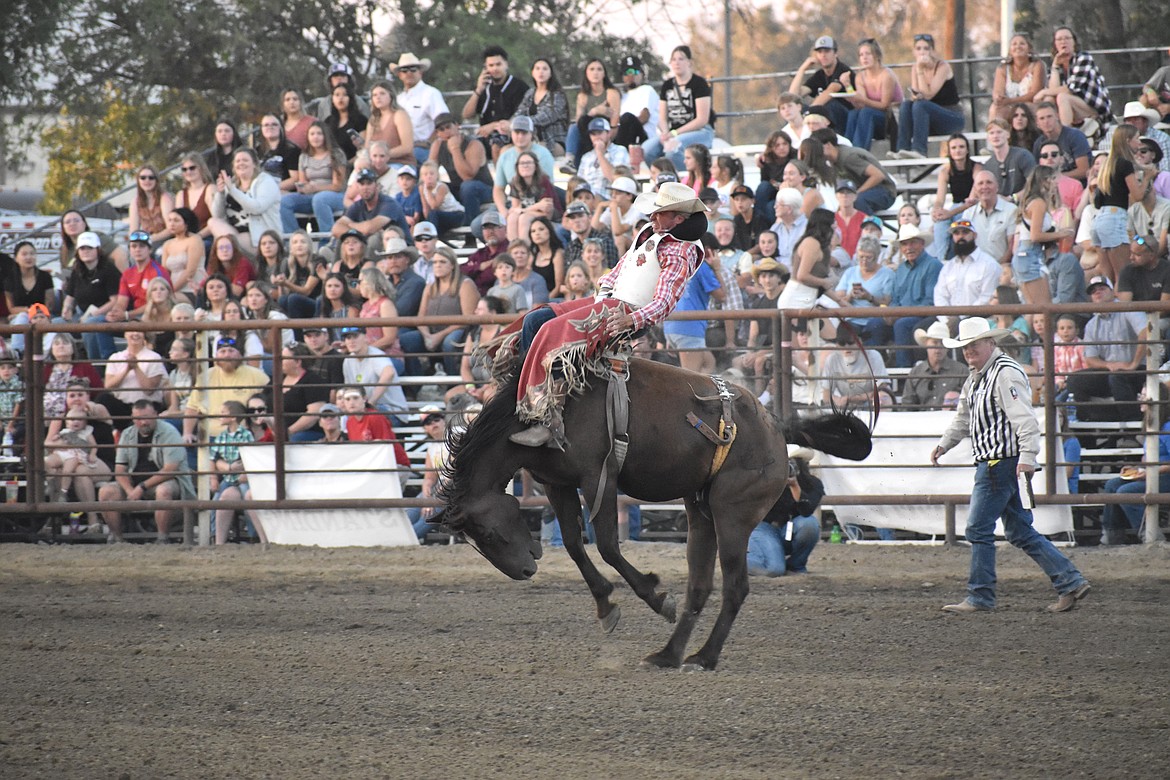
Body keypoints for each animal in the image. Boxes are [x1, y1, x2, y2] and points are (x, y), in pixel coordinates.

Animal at [437, 357, 870, 668]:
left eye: (489, 533)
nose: (526, 571)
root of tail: (776, 428)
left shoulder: (599, 477)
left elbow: (607, 545)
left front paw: (654, 597)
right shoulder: (557, 483)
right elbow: (575, 545)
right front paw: (606, 605)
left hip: (732, 513)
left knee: (735, 586)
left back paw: (703, 657)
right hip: (701, 512)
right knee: (700, 585)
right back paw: (668, 655)